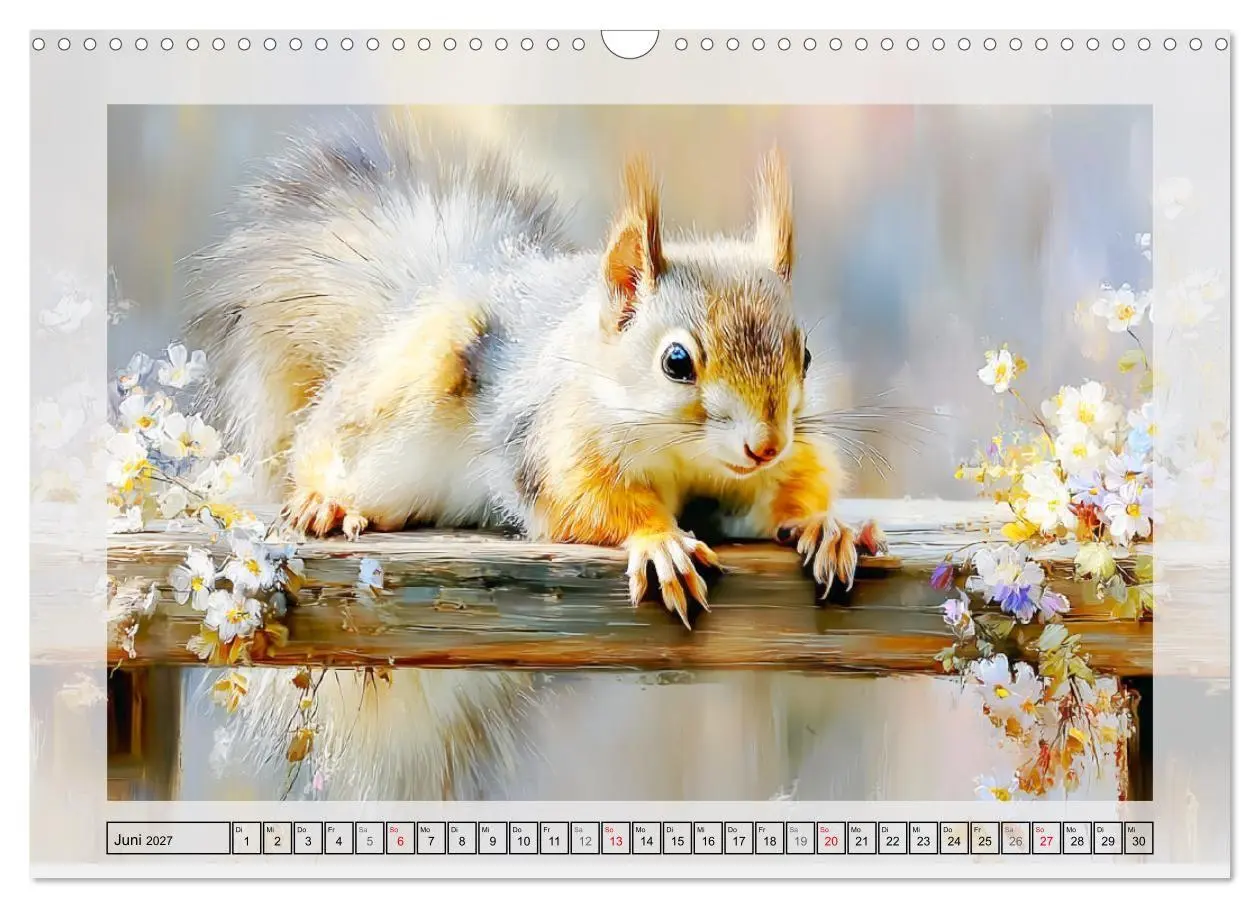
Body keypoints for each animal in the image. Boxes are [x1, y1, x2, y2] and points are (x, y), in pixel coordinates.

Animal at [185, 113, 886, 799]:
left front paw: (825, 526)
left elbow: (776, 499)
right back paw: (326, 500)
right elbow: (585, 501)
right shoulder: (552, 442)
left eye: (805, 356)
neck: (683, 456)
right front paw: (660, 543)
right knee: (324, 439)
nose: (764, 445)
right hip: (396, 401)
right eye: (676, 361)